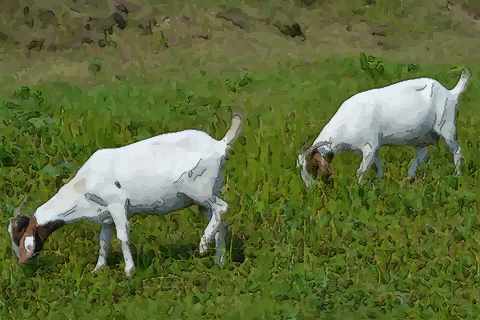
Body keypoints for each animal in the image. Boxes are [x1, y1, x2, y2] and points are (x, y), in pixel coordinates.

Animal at [10, 114, 244, 276]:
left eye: (19, 238)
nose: (22, 263)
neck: (83, 185)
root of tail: (220, 144)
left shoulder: (117, 204)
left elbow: (123, 236)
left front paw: (129, 271)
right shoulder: (105, 217)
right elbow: (103, 242)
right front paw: (98, 269)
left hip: (199, 190)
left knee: (222, 207)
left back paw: (203, 245)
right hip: (207, 195)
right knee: (220, 222)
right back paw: (219, 260)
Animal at [298, 69, 470, 186]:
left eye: (313, 166)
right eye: (301, 168)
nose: (310, 189)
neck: (346, 122)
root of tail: (450, 93)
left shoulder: (369, 146)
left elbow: (361, 171)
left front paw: (358, 187)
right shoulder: (374, 148)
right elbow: (378, 165)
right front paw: (379, 182)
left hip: (447, 126)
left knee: (457, 151)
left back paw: (457, 176)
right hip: (421, 137)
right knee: (421, 154)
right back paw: (408, 178)